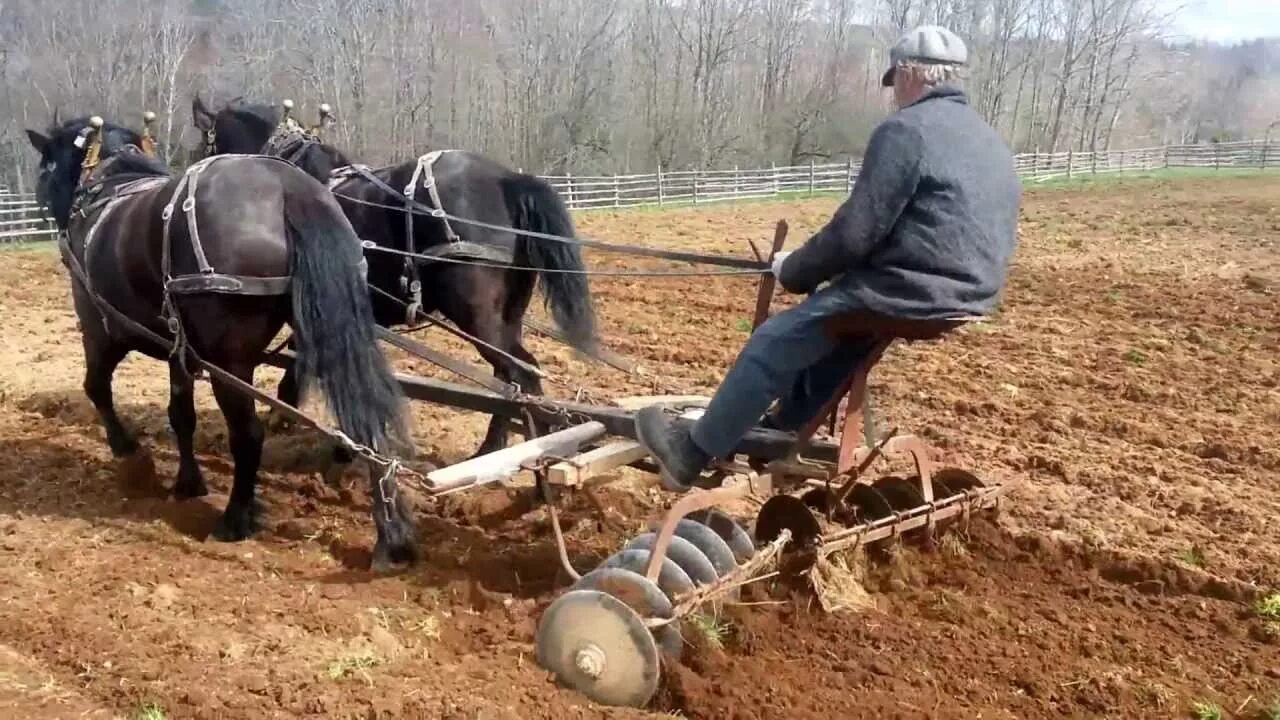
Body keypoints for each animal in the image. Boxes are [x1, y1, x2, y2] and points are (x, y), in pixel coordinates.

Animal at [24, 116, 417, 566]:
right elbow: (181, 414)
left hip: (229, 362)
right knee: (365, 421)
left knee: (248, 436)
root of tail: (290, 188)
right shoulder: (178, 345)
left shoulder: (101, 328)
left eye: (46, 165)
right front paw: (188, 482)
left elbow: (96, 388)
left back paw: (234, 519)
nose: (44, 203)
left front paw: (128, 452)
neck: (108, 185)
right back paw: (390, 534)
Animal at [190, 94, 599, 453]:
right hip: (508, 315)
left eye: (204, 141)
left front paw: (285, 413)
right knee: (511, 379)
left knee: (521, 375)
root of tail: (506, 180)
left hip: (476, 315)